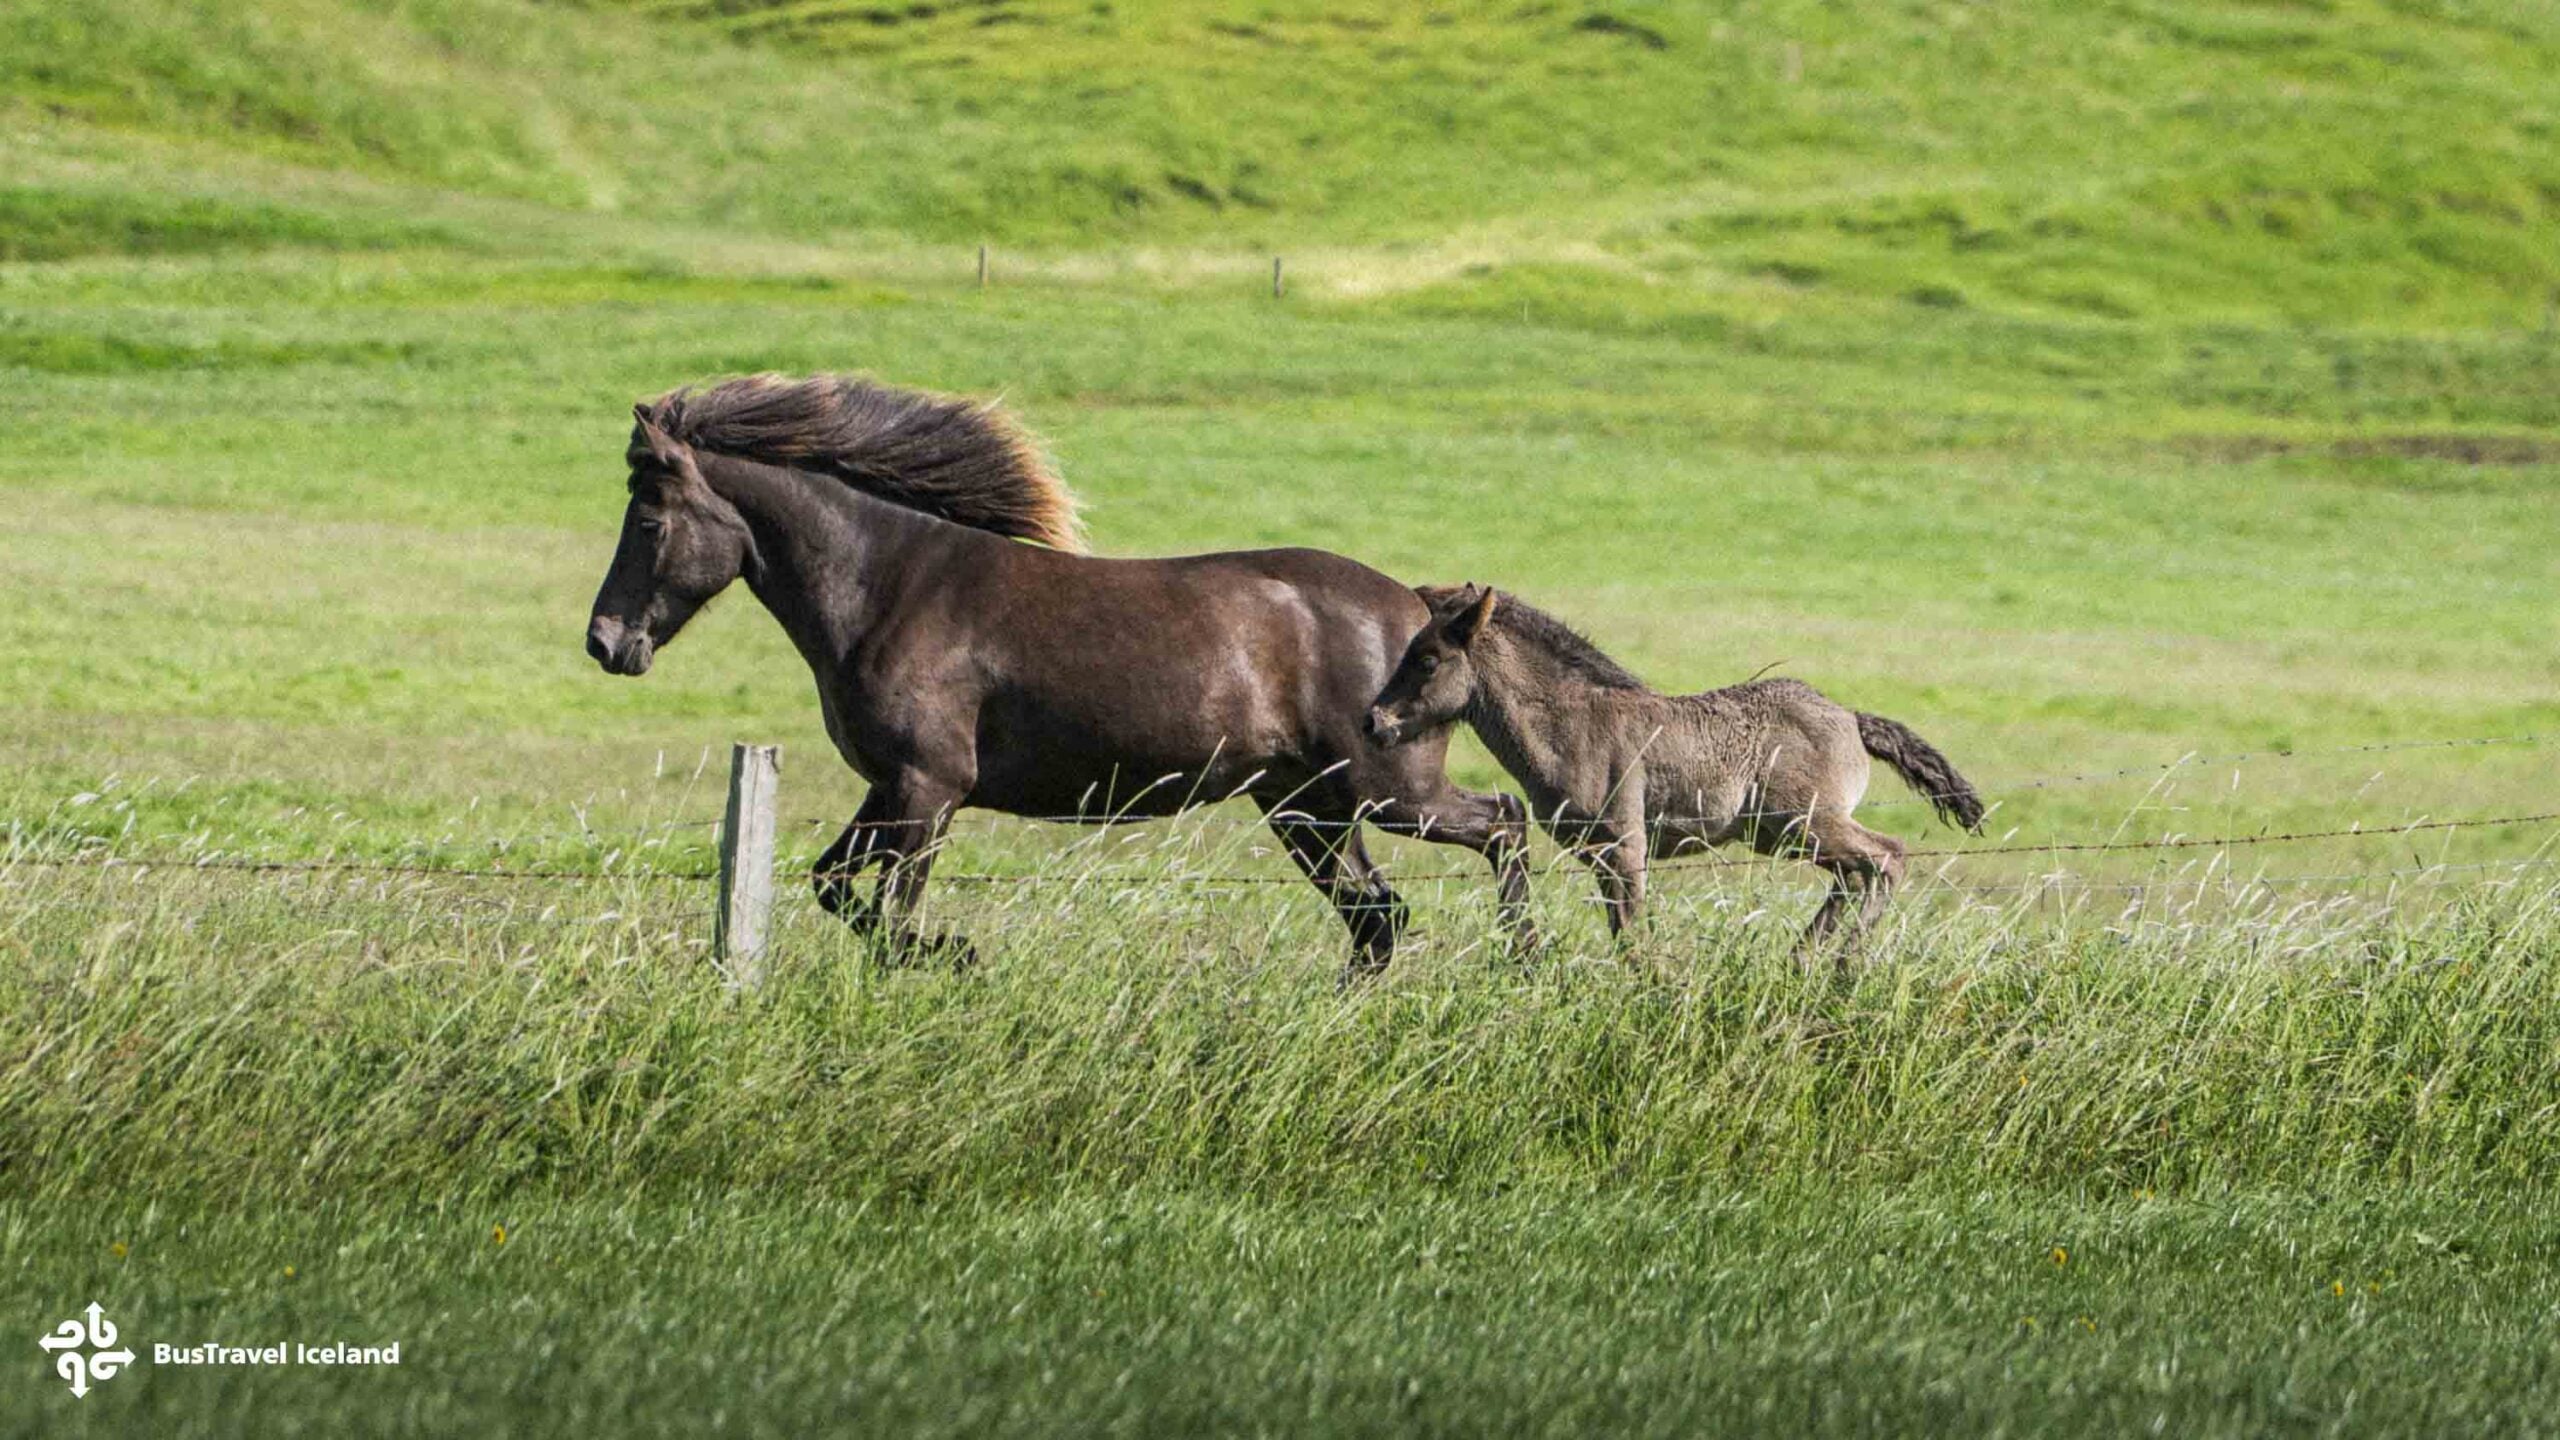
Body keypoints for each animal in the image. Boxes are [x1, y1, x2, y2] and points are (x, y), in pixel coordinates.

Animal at [583, 375, 1536, 978]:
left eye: (649, 519)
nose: (605, 642)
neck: (889, 587)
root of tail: (1421, 616)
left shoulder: (929, 787)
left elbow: (891, 917)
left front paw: (954, 958)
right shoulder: (891, 786)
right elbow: (835, 889)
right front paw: (952, 956)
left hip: (1389, 790)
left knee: (1502, 824)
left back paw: (1524, 963)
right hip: (1306, 807)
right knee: (1379, 917)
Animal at [1361, 584, 1986, 960]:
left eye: (1427, 660)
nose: (1374, 721)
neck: (1571, 724)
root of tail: (1852, 719)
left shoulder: (1625, 845)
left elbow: (1634, 937)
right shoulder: (1600, 857)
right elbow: (1623, 932)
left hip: (1806, 822)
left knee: (1887, 857)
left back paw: (1842, 964)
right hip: (1783, 834)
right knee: (1855, 874)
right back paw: (1802, 959)